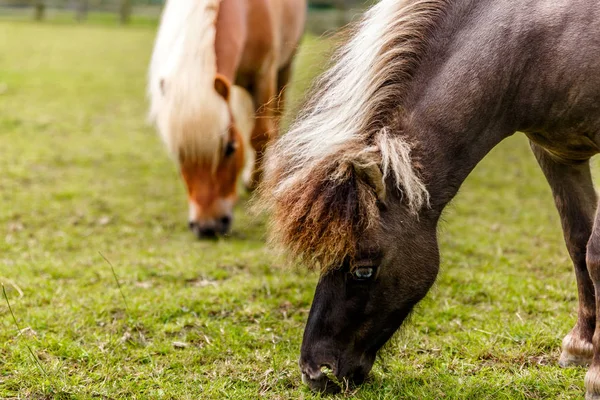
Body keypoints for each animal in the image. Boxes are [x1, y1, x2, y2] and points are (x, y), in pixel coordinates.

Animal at [148, 0, 308, 238]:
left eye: (230, 148)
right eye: (178, 154)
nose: (207, 227)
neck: (249, 11)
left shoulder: (263, 76)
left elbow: (260, 136)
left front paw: (254, 183)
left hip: (285, 67)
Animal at [262, 0, 600, 396]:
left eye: (363, 269)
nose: (316, 371)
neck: (537, 43)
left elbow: (594, 254)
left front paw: (595, 374)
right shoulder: (556, 154)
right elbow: (577, 243)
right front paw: (581, 345)